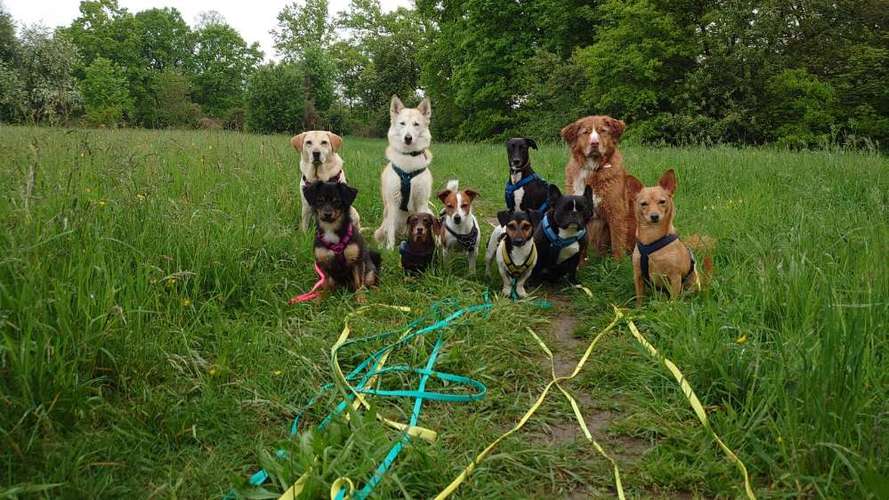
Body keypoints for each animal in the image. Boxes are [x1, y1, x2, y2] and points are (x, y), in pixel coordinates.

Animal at [372, 94, 434, 249]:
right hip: (384, 221)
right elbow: (391, 234)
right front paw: (389, 250)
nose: (408, 138)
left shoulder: (422, 202)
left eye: (416, 124)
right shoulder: (393, 202)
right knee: (385, 233)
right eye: (402, 123)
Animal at [560, 115, 636, 260]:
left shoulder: (616, 213)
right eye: (586, 132)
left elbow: (617, 244)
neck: (593, 170)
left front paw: (617, 263)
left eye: (602, 131)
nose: (594, 143)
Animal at [628, 170, 712, 306]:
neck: (652, 238)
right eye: (643, 204)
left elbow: (673, 299)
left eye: (662, 202)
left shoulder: (675, 277)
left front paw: (672, 308)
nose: (654, 216)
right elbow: (640, 297)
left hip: (691, 284)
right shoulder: (638, 276)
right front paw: (638, 309)